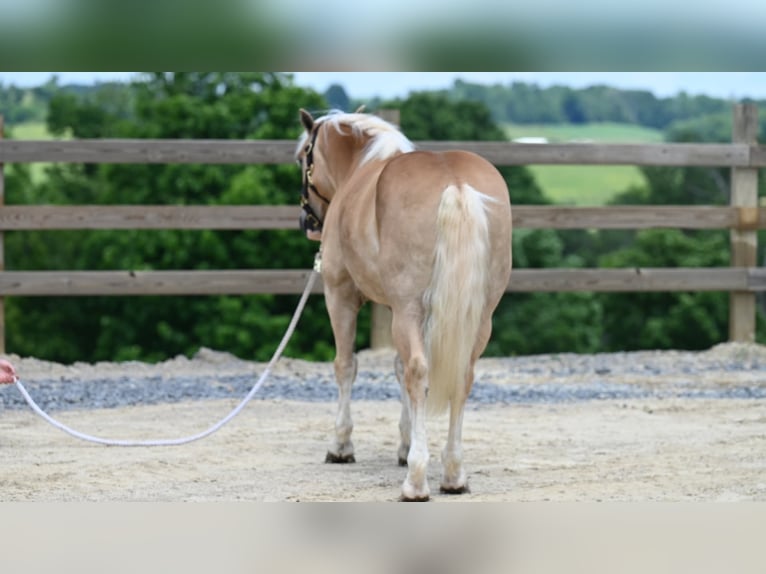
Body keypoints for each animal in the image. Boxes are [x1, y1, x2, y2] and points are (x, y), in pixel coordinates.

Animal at [296, 110, 512, 502]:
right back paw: (453, 473)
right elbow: (397, 369)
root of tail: (455, 183)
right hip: (479, 317)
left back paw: (416, 481)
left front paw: (341, 446)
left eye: (304, 156)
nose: (307, 221)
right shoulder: (396, 309)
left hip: (408, 309)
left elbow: (346, 366)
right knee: (461, 375)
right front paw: (405, 442)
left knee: (417, 372)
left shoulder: (340, 295)